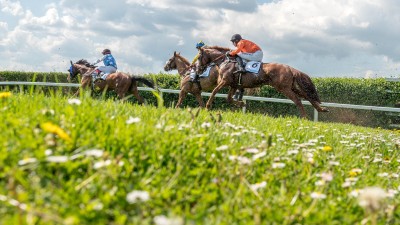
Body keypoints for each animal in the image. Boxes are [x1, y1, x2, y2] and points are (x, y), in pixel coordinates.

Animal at [197, 47, 328, 118]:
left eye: (198, 57)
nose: (198, 69)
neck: (226, 61)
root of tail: (290, 68)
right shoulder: (233, 85)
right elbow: (229, 99)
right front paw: (241, 103)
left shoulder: (224, 82)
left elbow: (214, 91)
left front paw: (207, 106)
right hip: (290, 86)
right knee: (307, 96)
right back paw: (322, 109)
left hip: (284, 88)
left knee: (298, 100)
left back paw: (305, 117)